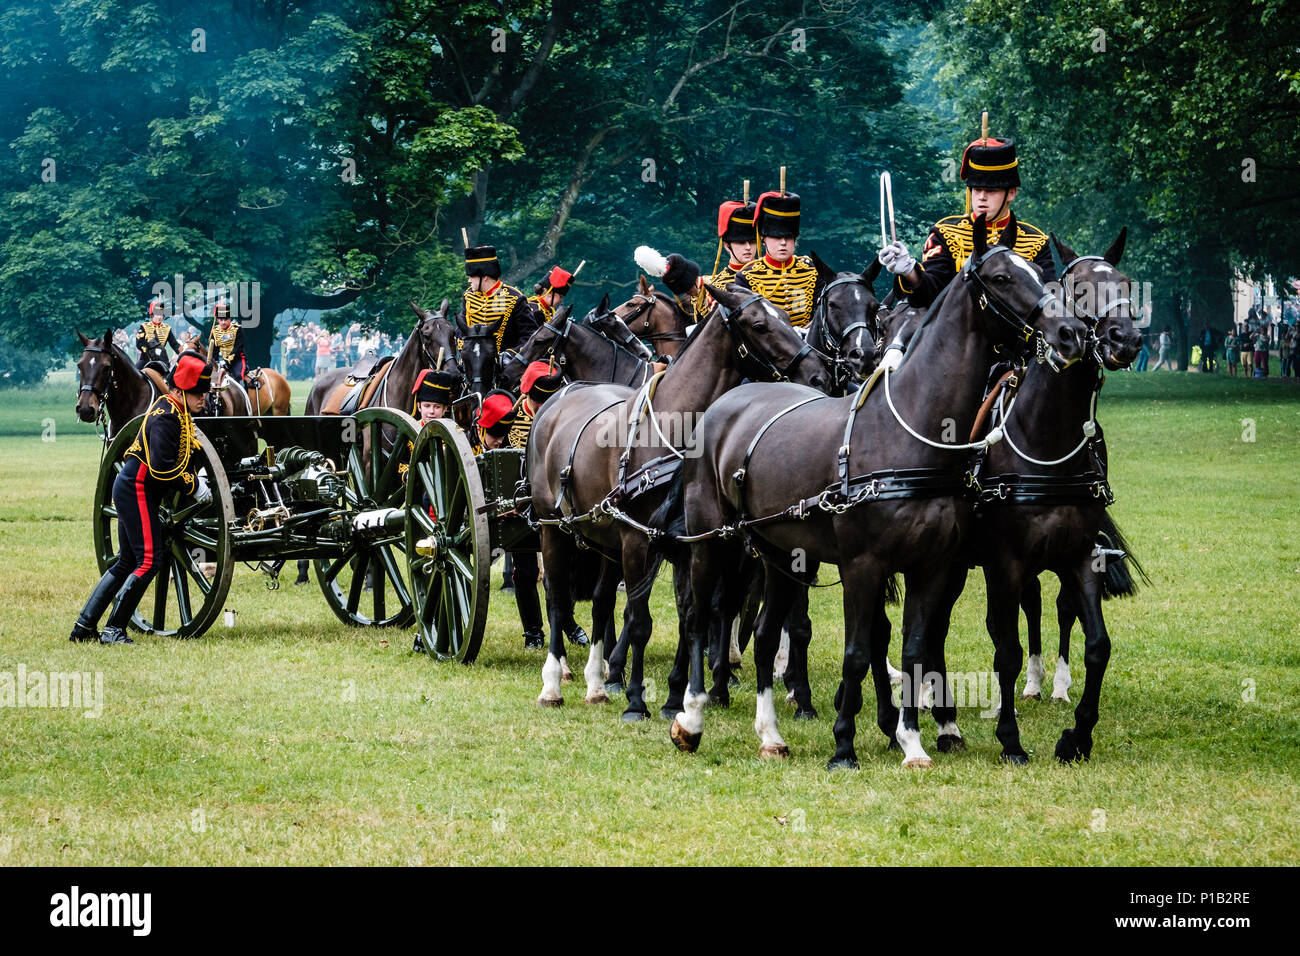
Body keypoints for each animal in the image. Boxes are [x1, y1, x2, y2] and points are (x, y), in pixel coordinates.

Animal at [670, 213, 1086, 764]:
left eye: (1041, 273)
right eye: (1001, 278)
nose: (1071, 332)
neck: (908, 430)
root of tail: (726, 404)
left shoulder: (932, 567)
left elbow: (913, 648)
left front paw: (912, 739)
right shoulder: (862, 567)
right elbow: (858, 650)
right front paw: (845, 743)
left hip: (780, 554)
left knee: (762, 634)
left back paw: (771, 734)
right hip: (711, 545)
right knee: (700, 618)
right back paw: (691, 715)